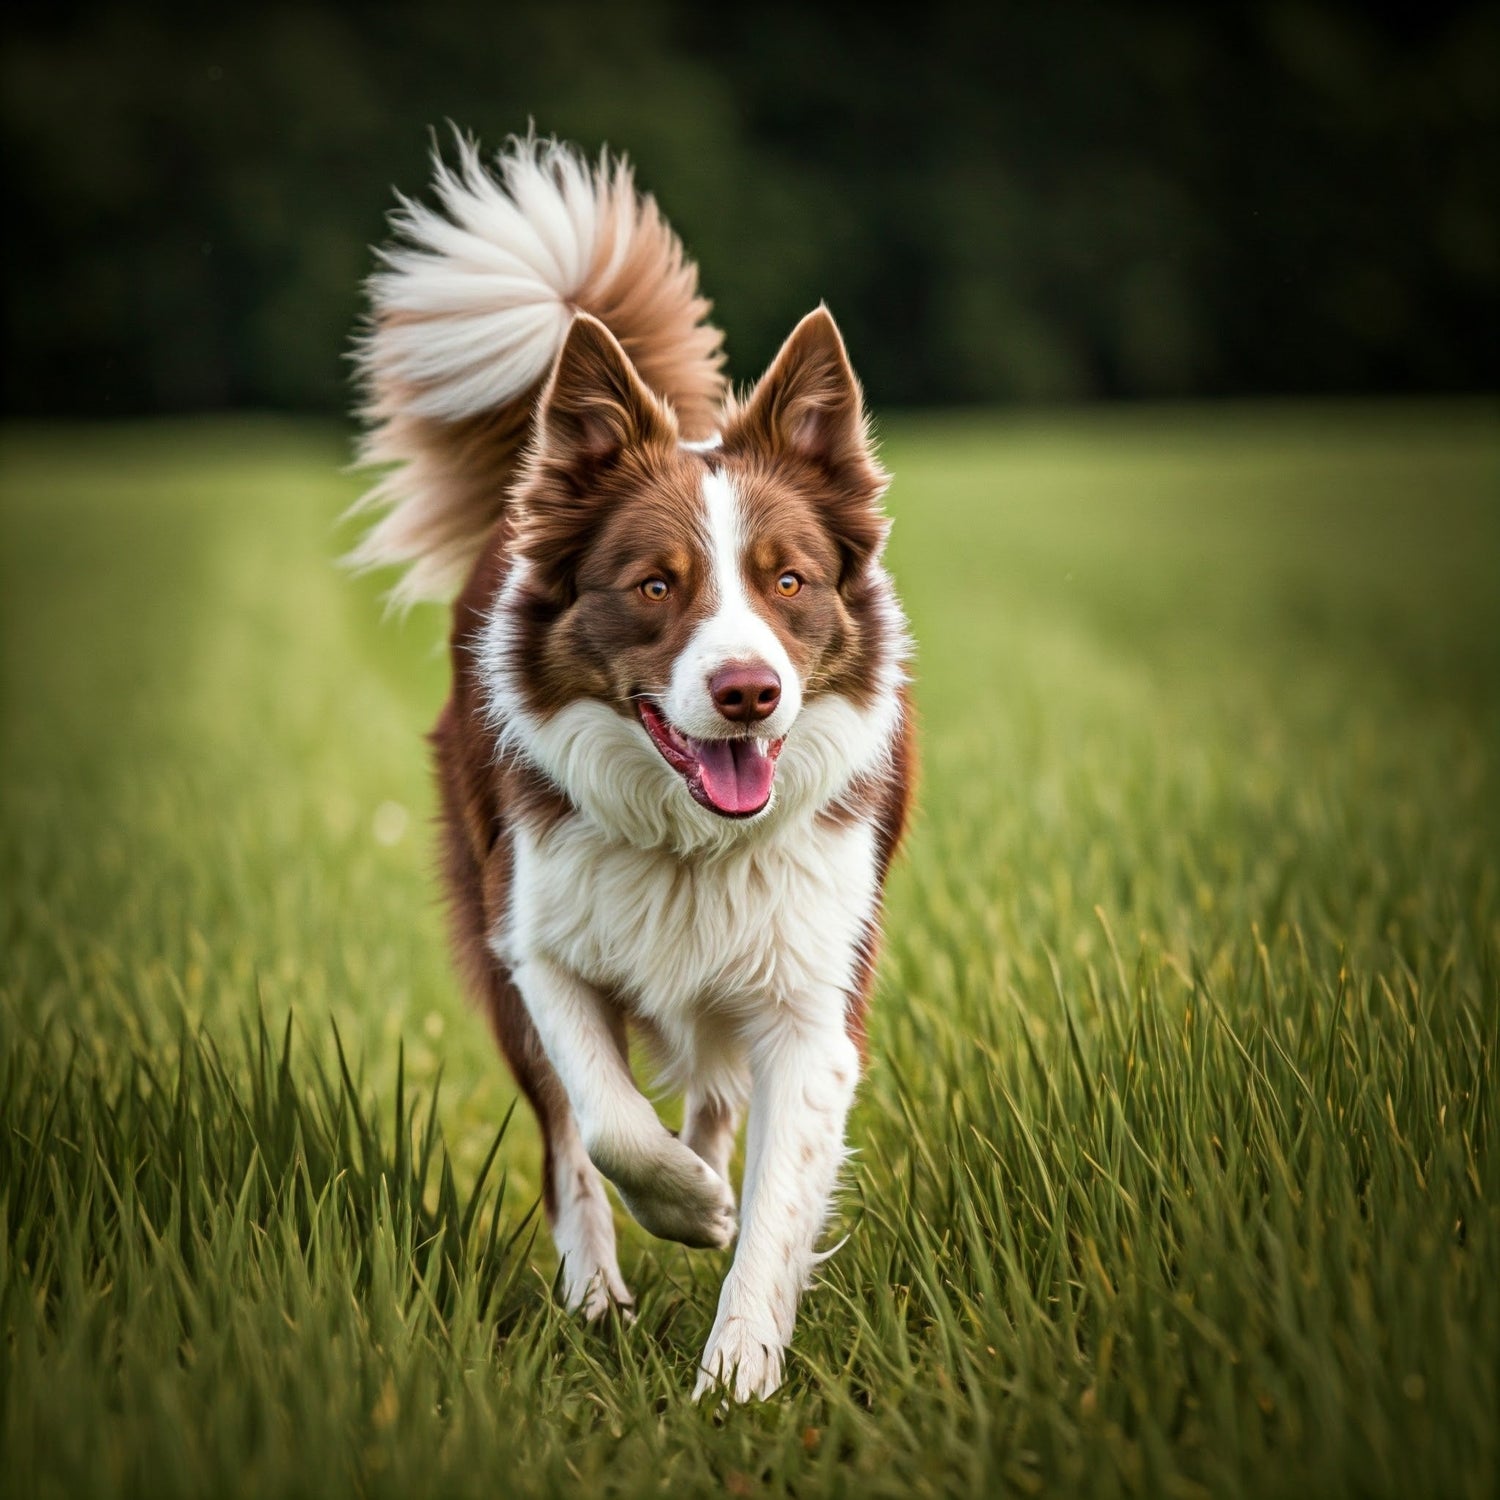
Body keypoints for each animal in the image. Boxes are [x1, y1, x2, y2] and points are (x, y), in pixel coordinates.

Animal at [352, 135, 912, 1398]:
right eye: (657, 585)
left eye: (789, 581)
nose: (749, 693)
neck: (693, 839)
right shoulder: (533, 942)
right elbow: (606, 1125)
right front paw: (689, 1210)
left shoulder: (812, 995)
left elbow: (777, 1195)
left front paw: (737, 1376)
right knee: (575, 1140)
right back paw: (601, 1292)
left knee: (711, 1086)